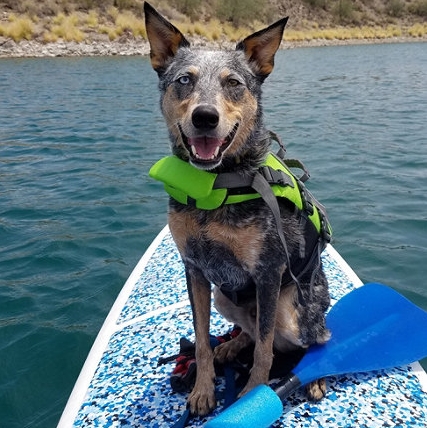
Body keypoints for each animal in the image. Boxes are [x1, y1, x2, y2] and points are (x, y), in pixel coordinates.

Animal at [145, 2, 332, 418]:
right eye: (184, 80)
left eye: (233, 83)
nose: (205, 117)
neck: (216, 186)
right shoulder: (195, 268)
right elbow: (200, 339)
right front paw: (203, 390)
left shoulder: (267, 272)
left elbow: (264, 350)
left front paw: (251, 395)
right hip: (224, 297)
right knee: (248, 331)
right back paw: (229, 346)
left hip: (292, 312)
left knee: (315, 337)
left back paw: (318, 375)